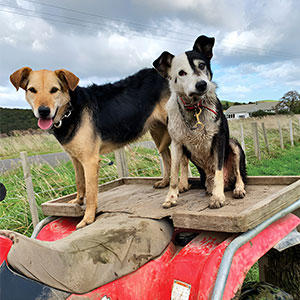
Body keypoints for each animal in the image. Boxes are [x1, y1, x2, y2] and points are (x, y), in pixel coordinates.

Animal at [155, 35, 246, 209]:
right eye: (181, 73)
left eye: (202, 65)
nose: (202, 84)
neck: (195, 107)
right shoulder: (176, 144)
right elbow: (174, 174)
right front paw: (171, 197)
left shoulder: (219, 138)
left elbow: (218, 170)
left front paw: (218, 197)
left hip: (233, 144)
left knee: (239, 174)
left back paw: (237, 188)